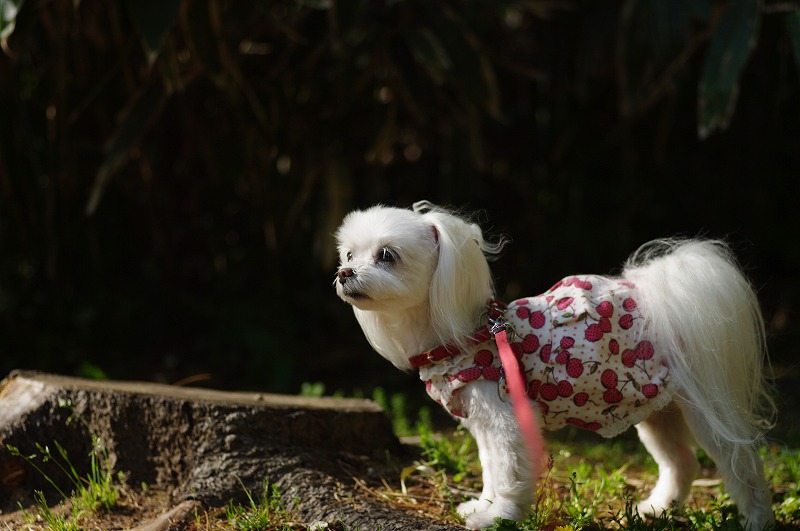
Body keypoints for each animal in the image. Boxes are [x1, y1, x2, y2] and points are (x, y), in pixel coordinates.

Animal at [334, 201, 775, 530]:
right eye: (349, 253)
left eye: (387, 255)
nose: (343, 272)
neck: (463, 335)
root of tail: (660, 300)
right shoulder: (484, 425)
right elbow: (491, 469)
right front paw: (483, 507)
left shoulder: (505, 419)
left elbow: (509, 471)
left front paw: (499, 517)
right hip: (656, 409)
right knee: (681, 461)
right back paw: (657, 508)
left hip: (705, 406)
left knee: (741, 462)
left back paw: (754, 519)